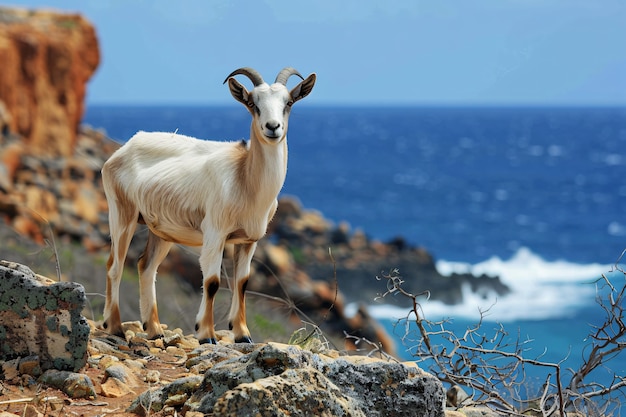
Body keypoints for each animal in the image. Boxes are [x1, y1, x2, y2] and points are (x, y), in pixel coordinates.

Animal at [103, 67, 316, 342]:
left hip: (161, 230)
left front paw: (242, 334)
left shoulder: (249, 240)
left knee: (146, 267)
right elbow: (213, 282)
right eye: (253, 104)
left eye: (288, 103)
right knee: (115, 266)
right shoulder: (215, 233)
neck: (244, 178)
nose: (273, 127)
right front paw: (206, 333)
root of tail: (123, 149)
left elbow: (242, 282)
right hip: (122, 214)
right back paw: (115, 327)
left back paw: (154, 329)